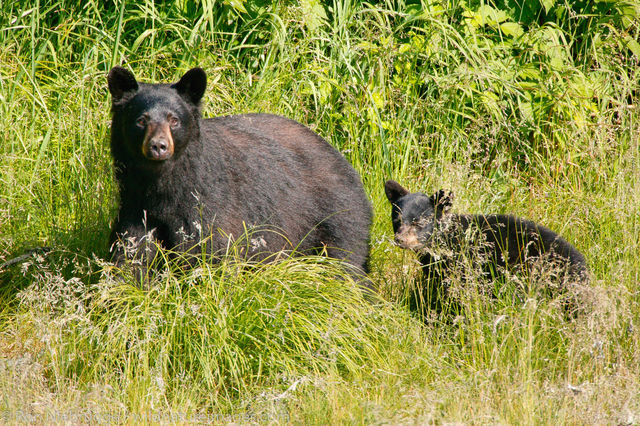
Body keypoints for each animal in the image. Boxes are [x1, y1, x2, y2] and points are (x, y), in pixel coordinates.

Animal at [106, 66, 373, 284]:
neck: (163, 187)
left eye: (174, 120)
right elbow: (131, 253)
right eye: (141, 120)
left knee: (346, 263)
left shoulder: (207, 206)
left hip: (336, 214)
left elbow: (208, 255)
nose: (158, 146)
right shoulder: (136, 206)